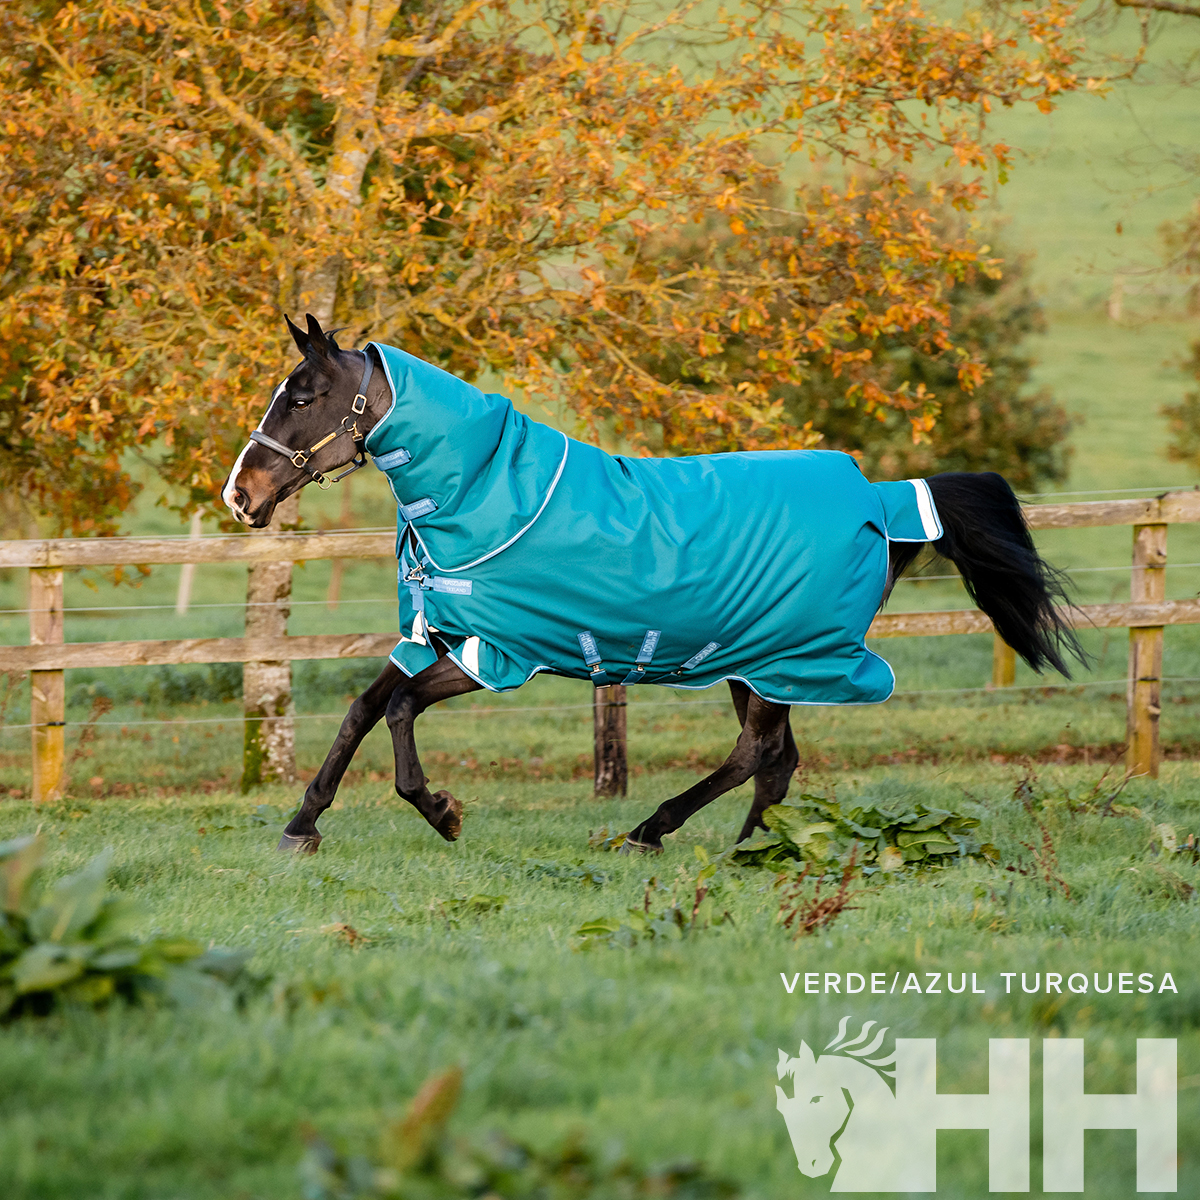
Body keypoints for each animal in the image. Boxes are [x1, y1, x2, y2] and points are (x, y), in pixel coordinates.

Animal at [222, 313, 1083, 855]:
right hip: (753, 662)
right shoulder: (440, 637)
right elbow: (362, 709)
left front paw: (442, 813)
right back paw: (746, 847)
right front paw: (302, 826)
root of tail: (883, 499)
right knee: (774, 761)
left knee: (757, 754)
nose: (240, 495)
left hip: (779, 660)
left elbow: (399, 708)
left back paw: (659, 834)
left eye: (303, 397)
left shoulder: (496, 653)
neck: (487, 492)